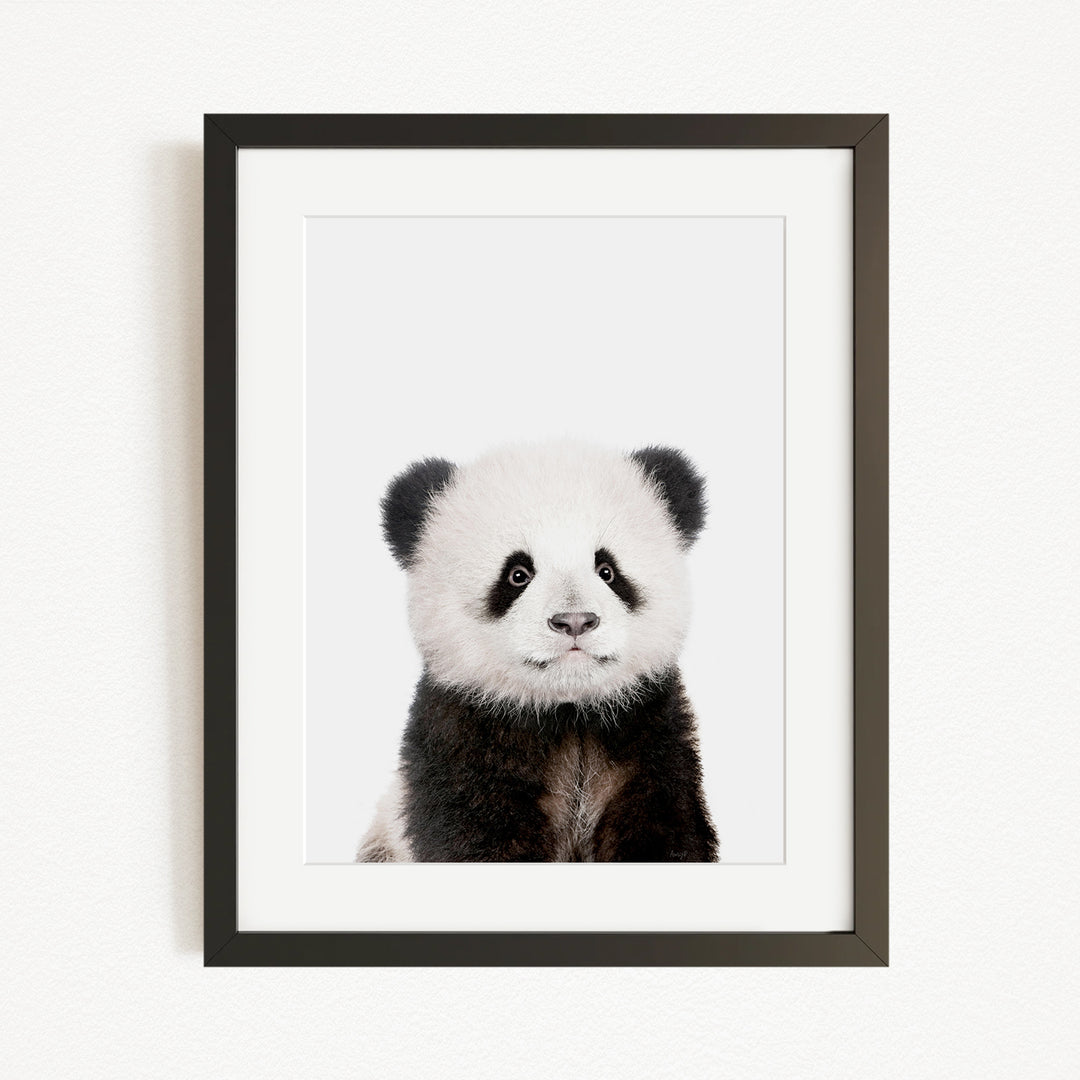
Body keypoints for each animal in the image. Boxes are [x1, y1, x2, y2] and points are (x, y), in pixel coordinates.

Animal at [357, 441, 718, 862]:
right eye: (518, 574)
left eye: (607, 570)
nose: (574, 621)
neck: (568, 712)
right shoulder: (462, 735)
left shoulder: (649, 731)